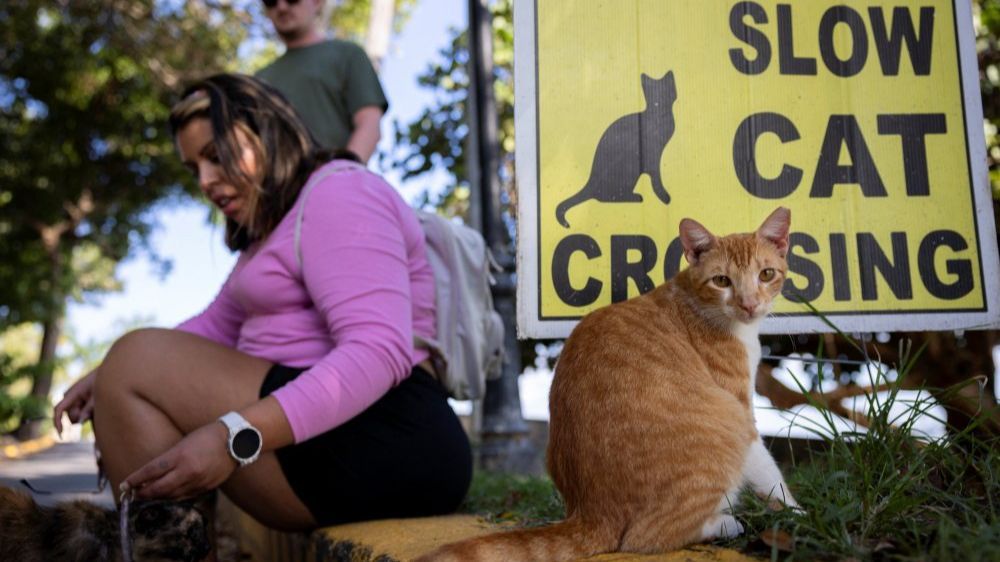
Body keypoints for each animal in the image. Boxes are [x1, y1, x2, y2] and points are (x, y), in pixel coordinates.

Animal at [418, 206, 800, 560]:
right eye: (722, 281)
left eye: (766, 274)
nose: (749, 304)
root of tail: (591, 512)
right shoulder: (741, 411)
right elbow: (769, 473)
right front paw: (798, 513)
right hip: (725, 421)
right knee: (646, 538)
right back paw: (727, 522)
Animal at [556, 70, 680, 228]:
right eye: (655, 100)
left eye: (665, 93)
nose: (660, 103)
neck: (657, 116)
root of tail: (590, 184)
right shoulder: (652, 157)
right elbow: (656, 178)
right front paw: (664, 197)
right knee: (607, 197)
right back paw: (634, 197)